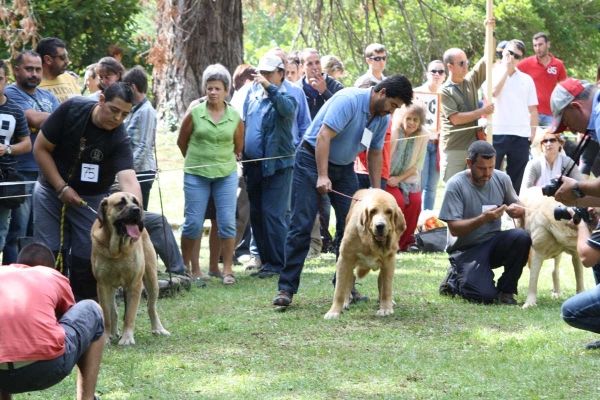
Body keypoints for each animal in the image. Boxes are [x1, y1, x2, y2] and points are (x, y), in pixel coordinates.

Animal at [90, 192, 169, 346]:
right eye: (121, 203)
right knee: (113, 311)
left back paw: (158, 328)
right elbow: (106, 314)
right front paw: (106, 337)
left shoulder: (135, 283)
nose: (136, 210)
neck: (118, 251)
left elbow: (130, 314)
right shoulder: (103, 285)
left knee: (151, 306)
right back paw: (113, 333)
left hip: (152, 280)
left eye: (136, 202)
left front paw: (127, 338)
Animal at [326, 189, 406, 320]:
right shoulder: (344, 259)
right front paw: (334, 311)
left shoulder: (389, 262)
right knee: (350, 280)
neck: (371, 242)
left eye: (389, 212)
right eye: (373, 211)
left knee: (381, 283)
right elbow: (339, 289)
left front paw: (385, 309)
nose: (380, 225)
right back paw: (346, 302)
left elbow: (386, 288)